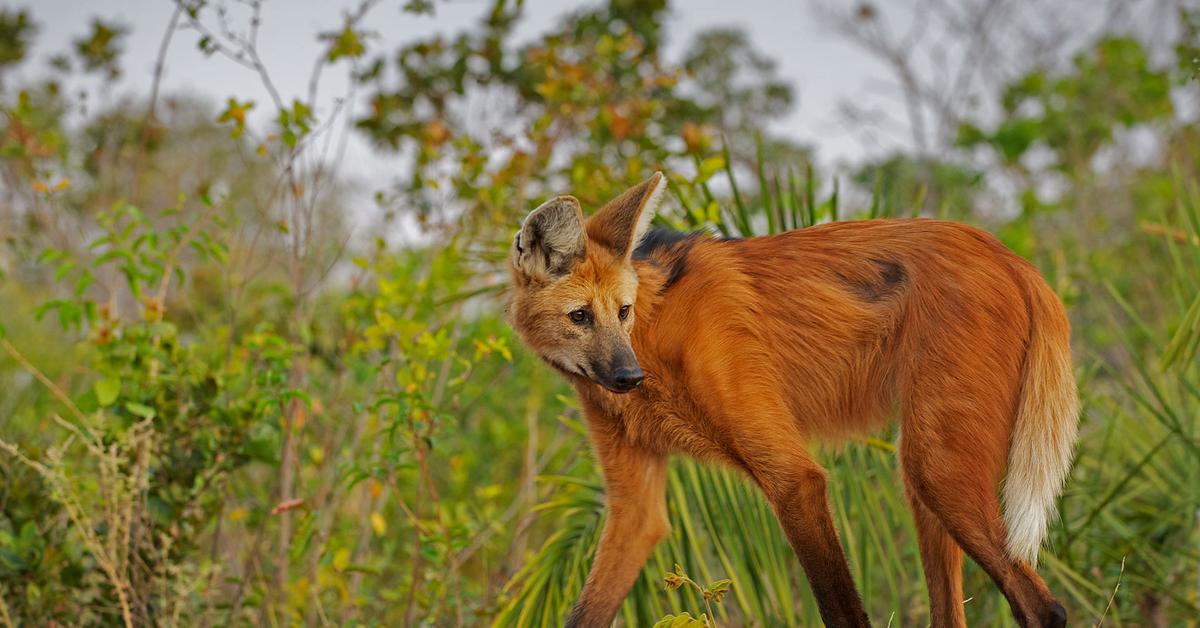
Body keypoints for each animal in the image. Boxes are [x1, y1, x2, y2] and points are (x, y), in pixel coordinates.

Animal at [506, 171, 1080, 628]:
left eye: (621, 311)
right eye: (581, 316)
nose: (628, 377)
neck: (653, 336)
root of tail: (1013, 258)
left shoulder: (794, 479)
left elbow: (841, 609)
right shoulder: (634, 508)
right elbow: (592, 602)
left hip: (937, 469)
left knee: (1043, 606)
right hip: (925, 473)